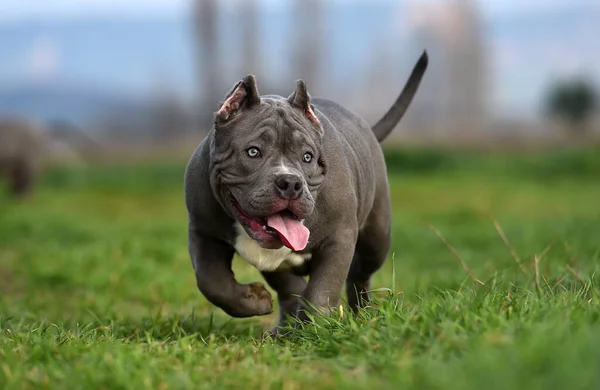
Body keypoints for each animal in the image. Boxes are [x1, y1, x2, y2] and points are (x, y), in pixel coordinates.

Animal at [185, 51, 428, 332]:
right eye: (253, 152)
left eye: (308, 157)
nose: (290, 183)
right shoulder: (203, 230)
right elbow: (211, 281)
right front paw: (255, 301)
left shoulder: (339, 237)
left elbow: (322, 289)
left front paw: (318, 326)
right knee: (290, 288)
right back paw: (284, 329)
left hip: (377, 237)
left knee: (359, 273)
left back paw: (361, 314)